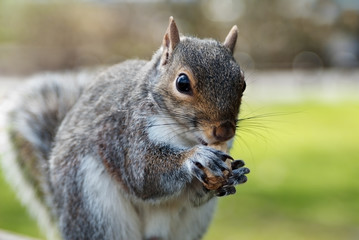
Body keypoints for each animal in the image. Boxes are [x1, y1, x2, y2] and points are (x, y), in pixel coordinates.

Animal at [0, 17, 250, 240]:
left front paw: (234, 175)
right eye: (182, 83)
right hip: (94, 209)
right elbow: (143, 176)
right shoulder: (126, 134)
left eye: (243, 83)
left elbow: (195, 196)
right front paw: (195, 157)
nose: (224, 131)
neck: (185, 136)